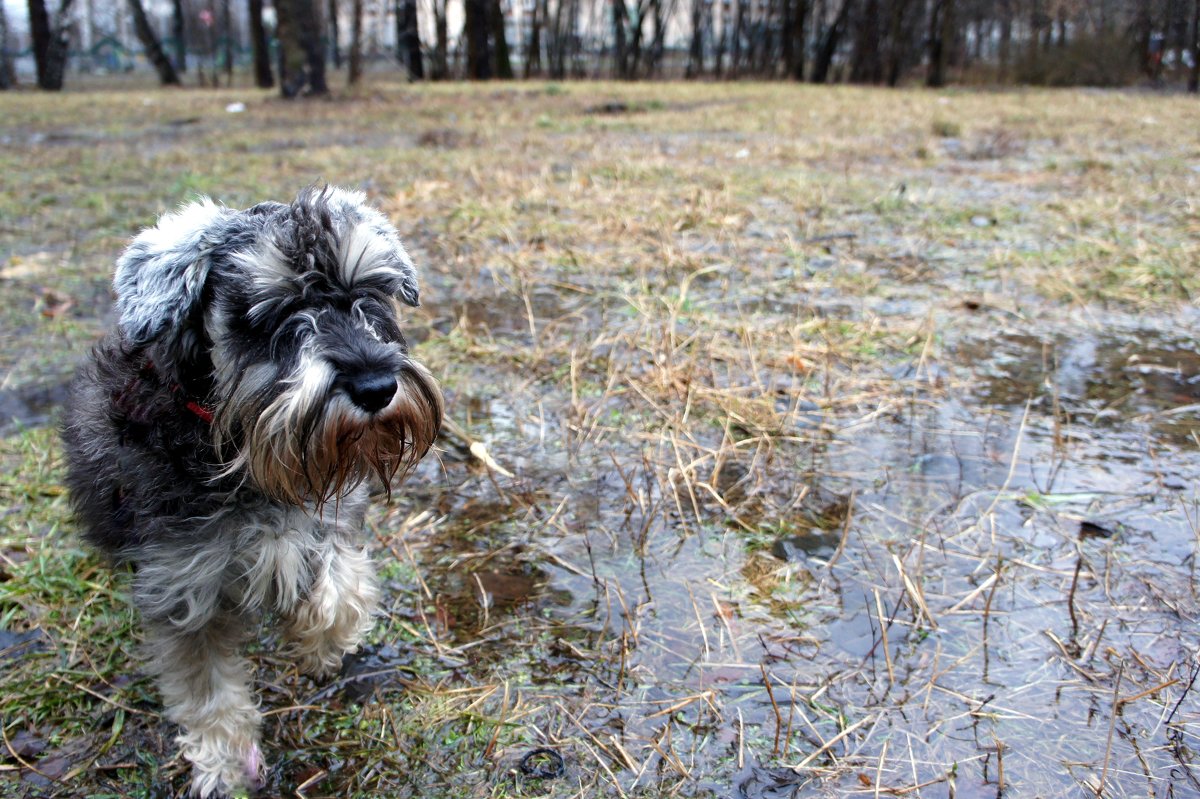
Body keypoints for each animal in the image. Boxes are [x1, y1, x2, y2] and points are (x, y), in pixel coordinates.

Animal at [62, 188, 446, 796]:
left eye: (370, 294)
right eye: (270, 311)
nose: (376, 386)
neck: (234, 444)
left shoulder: (327, 518)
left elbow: (341, 592)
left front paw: (319, 643)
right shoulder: (184, 589)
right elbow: (208, 690)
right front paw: (225, 762)